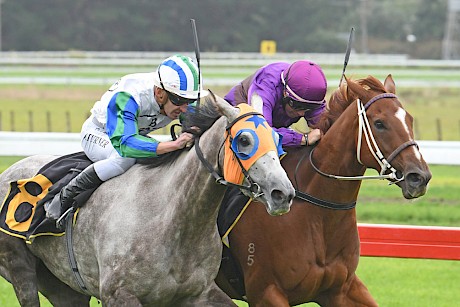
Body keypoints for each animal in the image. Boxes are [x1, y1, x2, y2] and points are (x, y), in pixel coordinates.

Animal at [0, 94, 294, 307]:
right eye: (244, 139)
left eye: (277, 137)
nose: (283, 194)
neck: (175, 220)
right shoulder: (118, 294)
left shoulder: (198, 293)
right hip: (20, 269)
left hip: (63, 287)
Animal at [216, 75, 432, 307]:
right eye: (379, 123)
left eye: (409, 120)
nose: (419, 177)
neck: (319, 215)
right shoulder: (266, 292)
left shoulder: (341, 289)